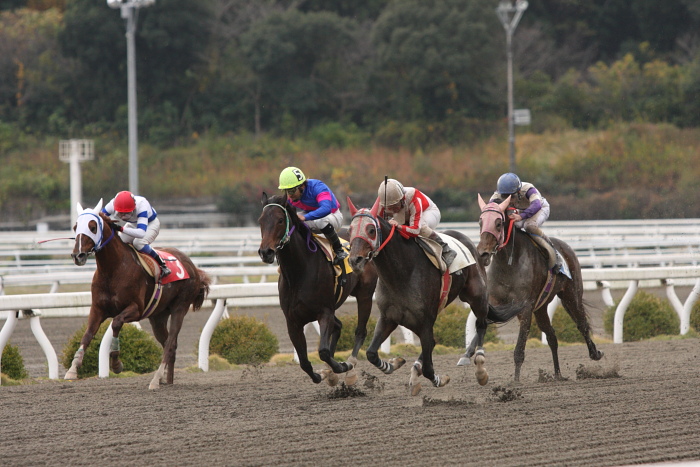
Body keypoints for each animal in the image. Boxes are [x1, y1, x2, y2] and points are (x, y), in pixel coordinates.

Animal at [66, 199, 211, 390]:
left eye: (93, 227)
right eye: (75, 227)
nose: (78, 255)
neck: (113, 270)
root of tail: (193, 267)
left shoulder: (136, 309)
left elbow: (116, 323)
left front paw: (116, 364)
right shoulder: (97, 309)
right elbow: (88, 334)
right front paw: (73, 368)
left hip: (179, 308)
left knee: (170, 344)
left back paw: (156, 379)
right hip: (158, 316)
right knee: (169, 345)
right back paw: (167, 380)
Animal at [256, 192, 378, 386]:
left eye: (280, 220)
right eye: (261, 220)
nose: (265, 252)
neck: (298, 273)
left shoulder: (324, 312)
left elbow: (323, 352)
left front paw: (340, 367)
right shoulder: (293, 321)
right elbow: (304, 362)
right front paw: (322, 374)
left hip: (365, 294)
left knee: (360, 331)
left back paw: (350, 365)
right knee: (339, 326)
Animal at [348, 197, 524, 394]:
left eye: (371, 230)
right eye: (350, 230)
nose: (354, 260)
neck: (401, 273)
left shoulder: (424, 321)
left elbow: (428, 367)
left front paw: (439, 379)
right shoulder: (389, 318)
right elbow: (371, 353)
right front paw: (394, 363)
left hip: (476, 297)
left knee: (481, 325)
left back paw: (480, 367)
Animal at [478, 196, 604, 382]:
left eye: (499, 223)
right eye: (480, 222)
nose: (483, 253)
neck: (509, 263)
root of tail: (566, 247)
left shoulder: (525, 308)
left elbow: (519, 349)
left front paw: (515, 382)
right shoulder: (496, 303)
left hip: (571, 295)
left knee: (581, 323)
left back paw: (595, 353)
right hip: (541, 308)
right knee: (552, 336)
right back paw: (558, 374)